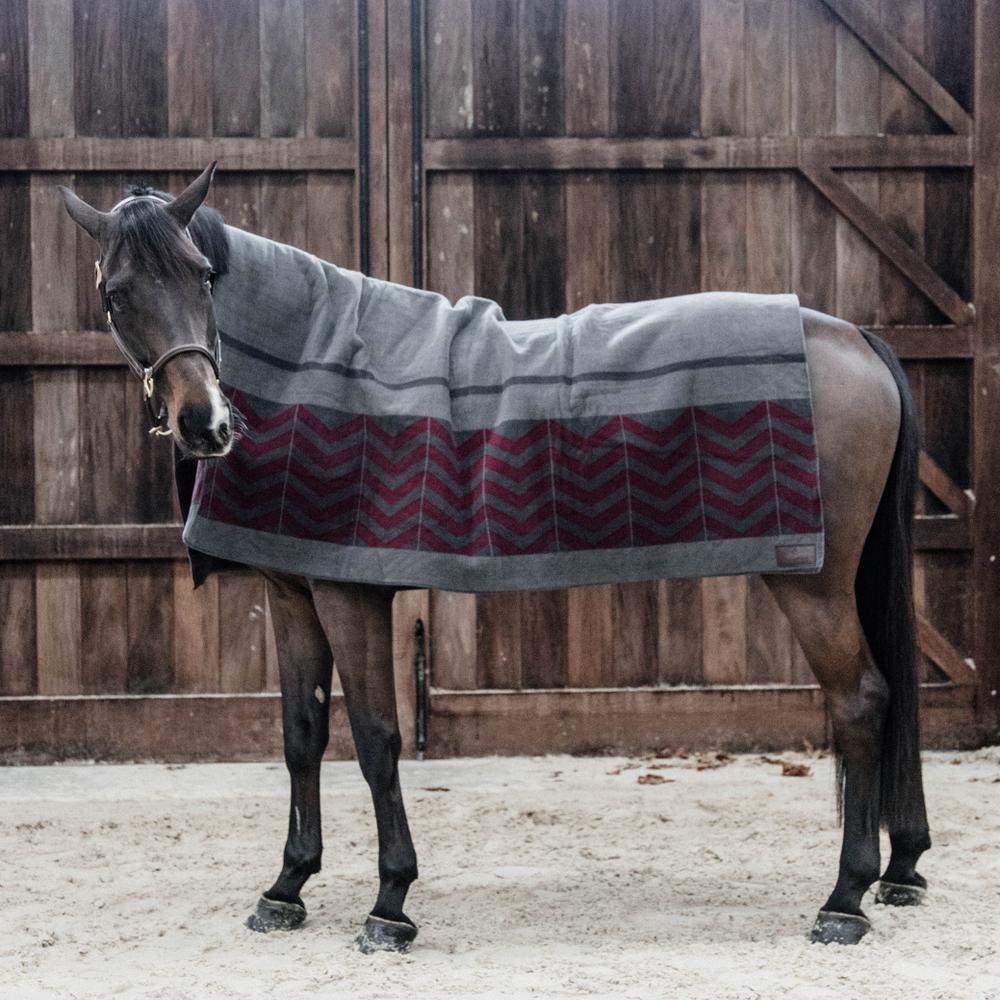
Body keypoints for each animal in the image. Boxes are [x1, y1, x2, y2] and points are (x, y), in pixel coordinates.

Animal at [59, 164, 930, 952]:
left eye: (204, 277)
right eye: (117, 294)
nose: (205, 422)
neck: (310, 357)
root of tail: (850, 337)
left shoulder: (349, 594)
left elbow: (376, 739)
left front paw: (390, 903)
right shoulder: (291, 592)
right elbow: (301, 735)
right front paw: (286, 887)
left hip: (812, 585)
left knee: (861, 702)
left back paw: (844, 900)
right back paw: (898, 869)